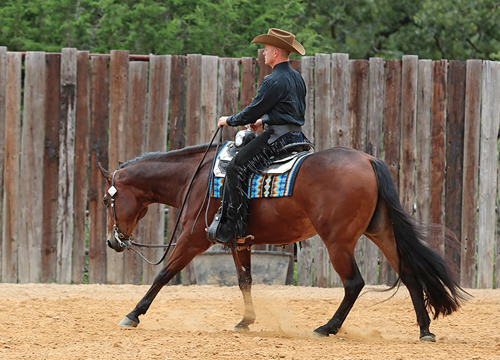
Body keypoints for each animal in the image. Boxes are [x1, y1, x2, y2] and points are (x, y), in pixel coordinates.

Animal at [99, 142, 466, 342]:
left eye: (106, 200)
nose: (112, 241)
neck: (197, 178)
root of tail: (367, 160)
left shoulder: (192, 239)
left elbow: (163, 275)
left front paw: (133, 314)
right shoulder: (240, 243)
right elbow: (245, 280)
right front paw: (245, 321)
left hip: (338, 241)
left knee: (354, 283)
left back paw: (327, 328)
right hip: (382, 233)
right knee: (410, 276)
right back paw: (425, 330)